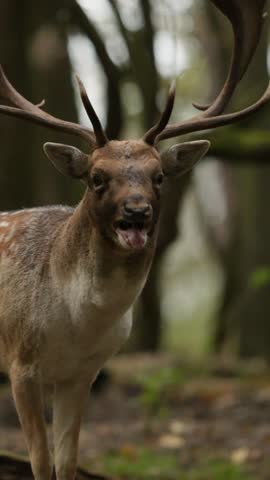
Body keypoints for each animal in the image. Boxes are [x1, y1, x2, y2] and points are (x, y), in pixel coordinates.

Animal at [0, 0, 268, 480]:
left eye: (158, 176)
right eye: (96, 177)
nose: (136, 212)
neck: (76, 324)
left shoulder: (83, 374)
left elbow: (67, 462)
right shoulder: (20, 359)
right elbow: (40, 463)